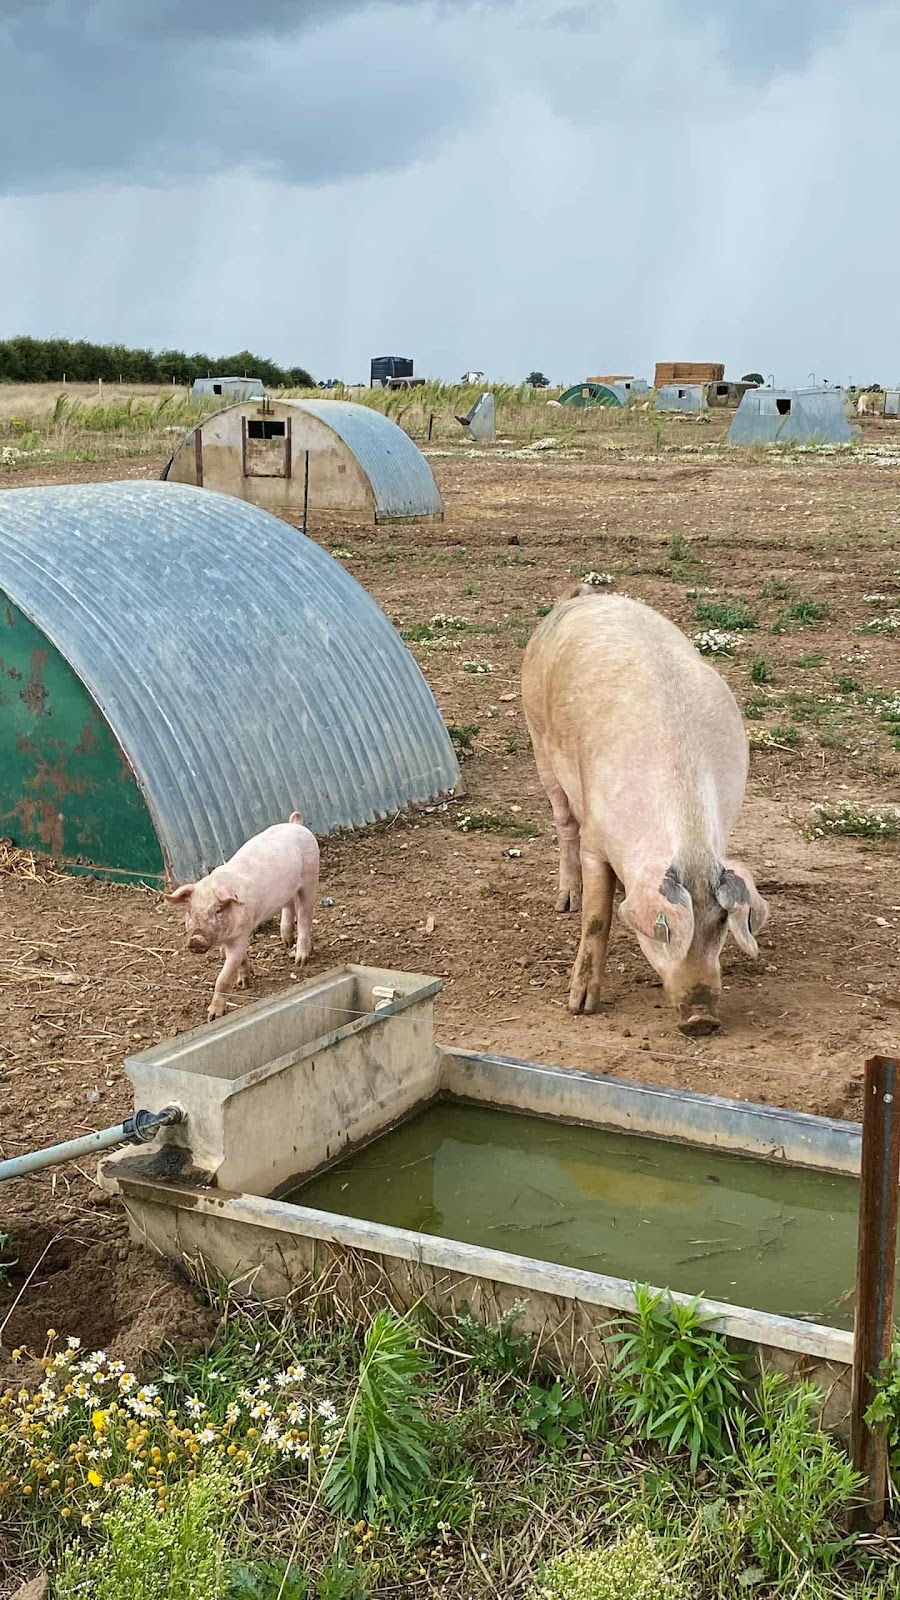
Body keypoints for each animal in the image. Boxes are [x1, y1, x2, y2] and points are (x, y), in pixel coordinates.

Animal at [165, 811, 320, 1022]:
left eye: (218, 910)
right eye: (190, 911)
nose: (196, 939)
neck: (225, 937)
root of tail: (296, 824)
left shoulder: (240, 935)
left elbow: (223, 977)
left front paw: (213, 1016)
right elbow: (239, 961)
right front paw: (244, 982)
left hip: (311, 877)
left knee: (304, 916)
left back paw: (299, 959)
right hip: (288, 889)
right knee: (288, 907)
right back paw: (286, 943)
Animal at [521, 589, 768, 1035]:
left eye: (722, 925)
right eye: (663, 930)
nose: (702, 1018)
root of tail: (584, 596)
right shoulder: (595, 841)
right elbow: (597, 918)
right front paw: (579, 1007)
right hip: (538, 739)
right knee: (564, 824)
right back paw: (566, 901)